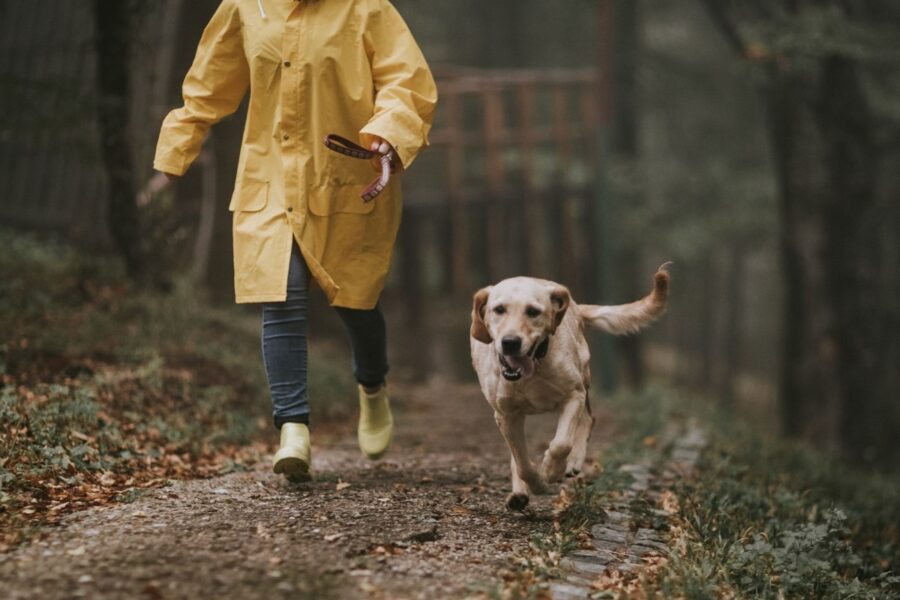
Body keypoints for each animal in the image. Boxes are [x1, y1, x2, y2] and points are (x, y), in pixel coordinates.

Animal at [472, 264, 668, 508]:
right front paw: (535, 483)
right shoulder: (506, 415)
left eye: (533, 311)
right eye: (499, 309)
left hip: (584, 378)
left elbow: (561, 443)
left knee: (588, 418)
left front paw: (550, 471)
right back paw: (519, 494)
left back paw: (573, 461)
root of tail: (574, 306)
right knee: (517, 456)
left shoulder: (573, 395)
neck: (534, 369)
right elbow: (522, 463)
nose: (510, 342)